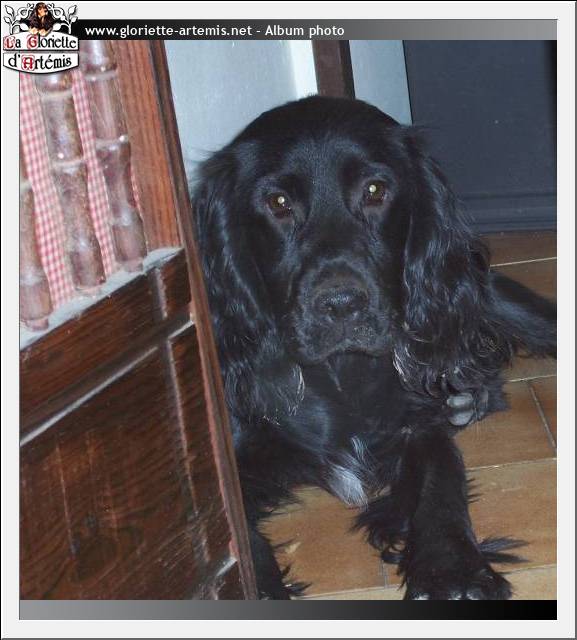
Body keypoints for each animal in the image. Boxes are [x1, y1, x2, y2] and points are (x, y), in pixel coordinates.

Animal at [191, 96, 556, 600]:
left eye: (376, 190)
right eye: (278, 202)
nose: (342, 304)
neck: (341, 375)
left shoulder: (417, 420)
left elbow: (440, 480)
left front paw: (453, 570)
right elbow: (240, 542)